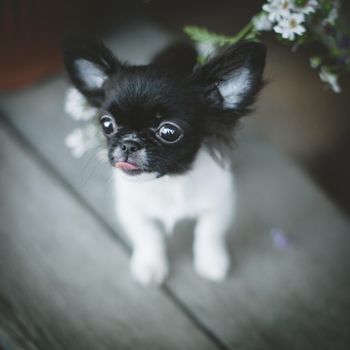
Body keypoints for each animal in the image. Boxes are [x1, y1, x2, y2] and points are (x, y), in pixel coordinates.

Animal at [63, 35, 266, 286]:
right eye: (107, 124)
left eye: (169, 132)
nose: (129, 144)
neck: (169, 180)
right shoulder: (131, 208)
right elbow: (149, 235)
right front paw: (150, 265)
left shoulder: (219, 203)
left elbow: (209, 231)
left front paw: (211, 261)